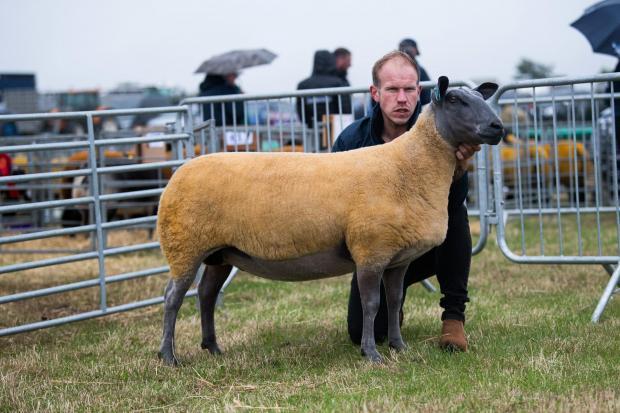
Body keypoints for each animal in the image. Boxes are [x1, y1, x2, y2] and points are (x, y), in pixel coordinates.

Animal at [155, 76, 504, 364]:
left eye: (480, 97)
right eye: (456, 99)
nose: (498, 127)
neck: (410, 166)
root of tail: (178, 173)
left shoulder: (398, 258)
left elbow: (393, 301)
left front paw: (398, 346)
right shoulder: (370, 251)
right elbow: (371, 304)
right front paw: (371, 354)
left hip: (221, 253)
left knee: (206, 295)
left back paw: (213, 348)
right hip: (185, 246)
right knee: (173, 297)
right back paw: (169, 357)